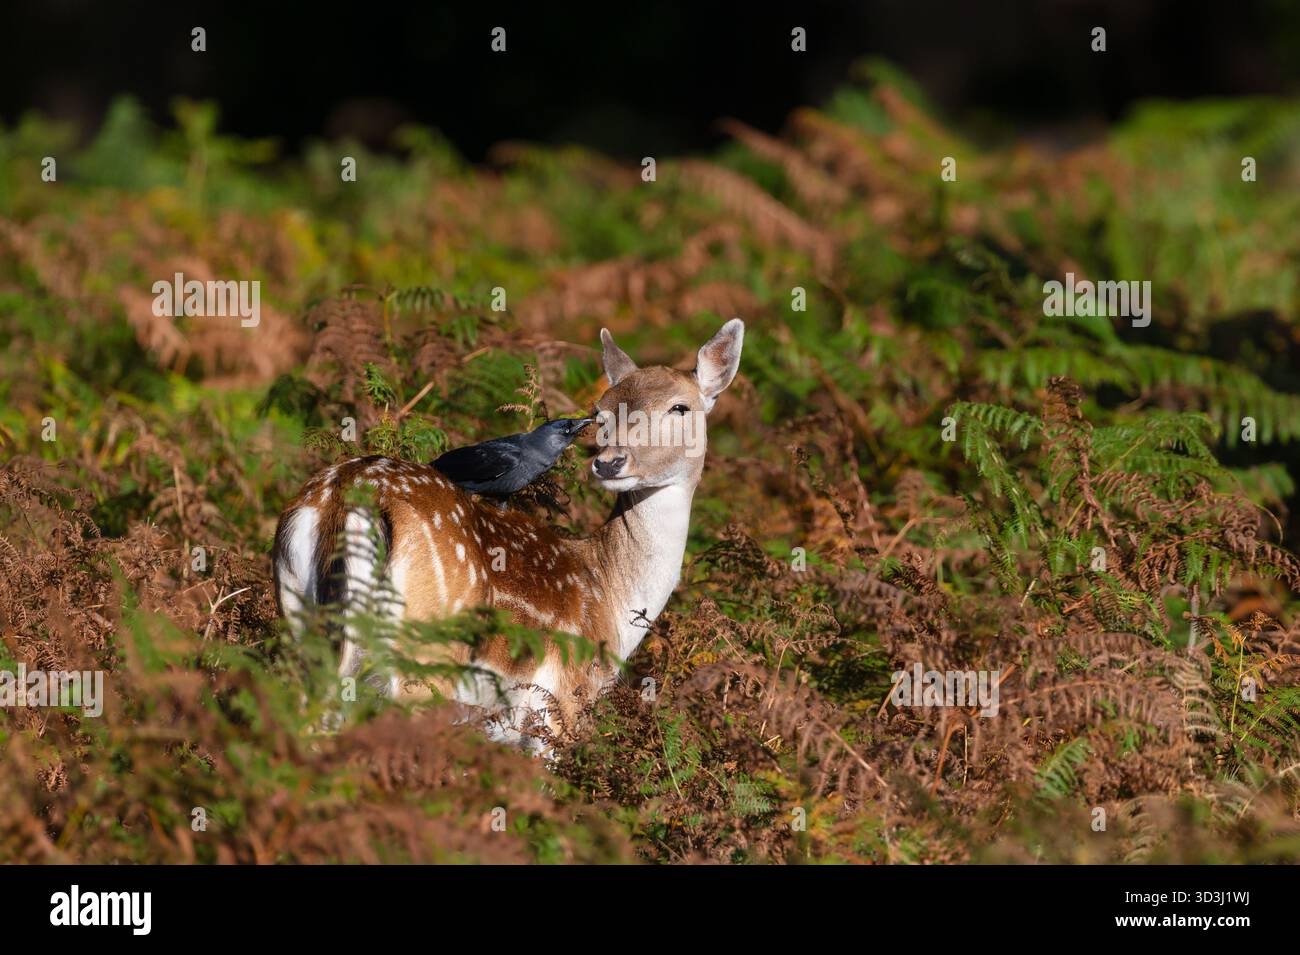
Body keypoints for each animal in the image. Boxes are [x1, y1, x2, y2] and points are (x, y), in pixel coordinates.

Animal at [272, 318, 744, 751]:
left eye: (680, 408)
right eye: (603, 409)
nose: (609, 463)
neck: (611, 598)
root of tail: (341, 495)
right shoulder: (560, 709)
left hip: (300, 618)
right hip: (424, 655)